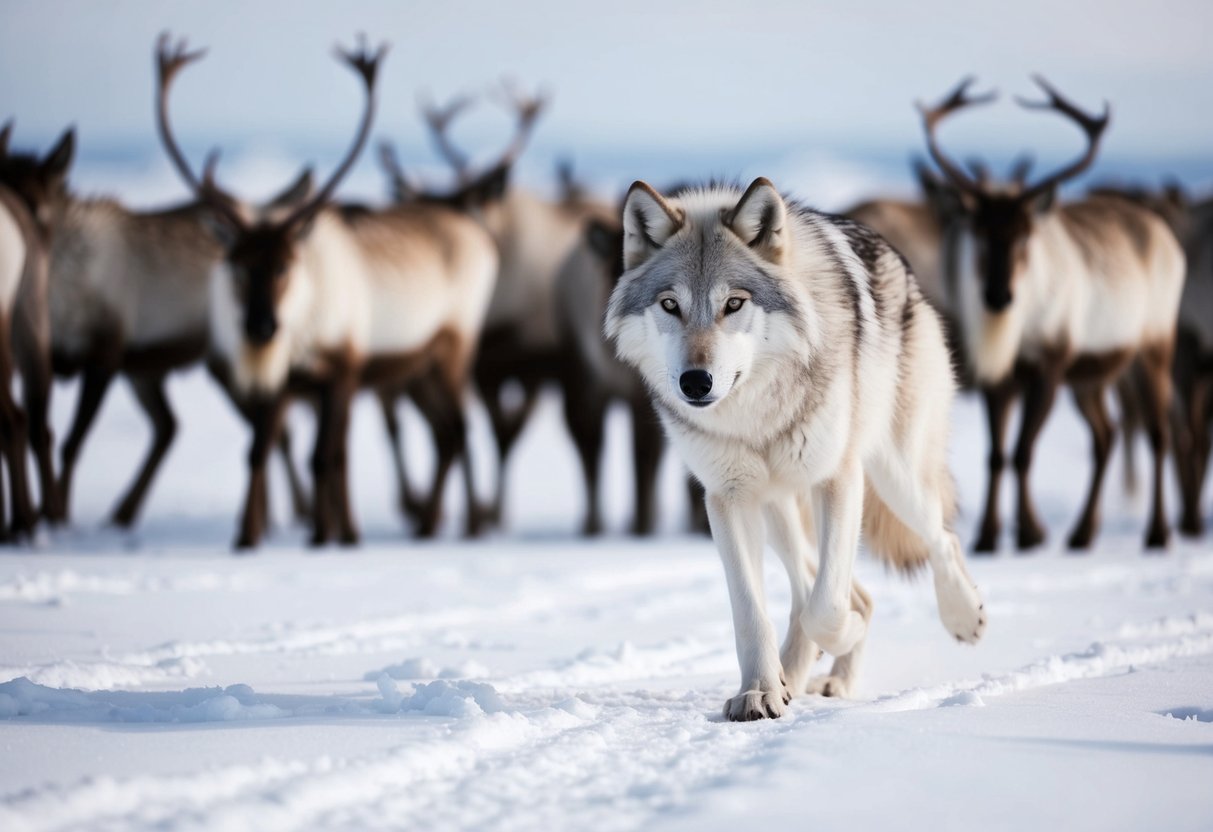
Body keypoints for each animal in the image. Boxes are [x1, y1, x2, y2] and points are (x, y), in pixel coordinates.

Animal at [605, 178, 986, 720]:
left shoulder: (839, 478)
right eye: (670, 305)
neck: (757, 417)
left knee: (938, 539)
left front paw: (837, 637)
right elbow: (751, 611)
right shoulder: (727, 499)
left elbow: (827, 606)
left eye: (734, 304)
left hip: (894, 476)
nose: (696, 382)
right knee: (829, 591)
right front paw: (759, 692)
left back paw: (961, 618)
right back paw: (803, 675)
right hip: (778, 509)